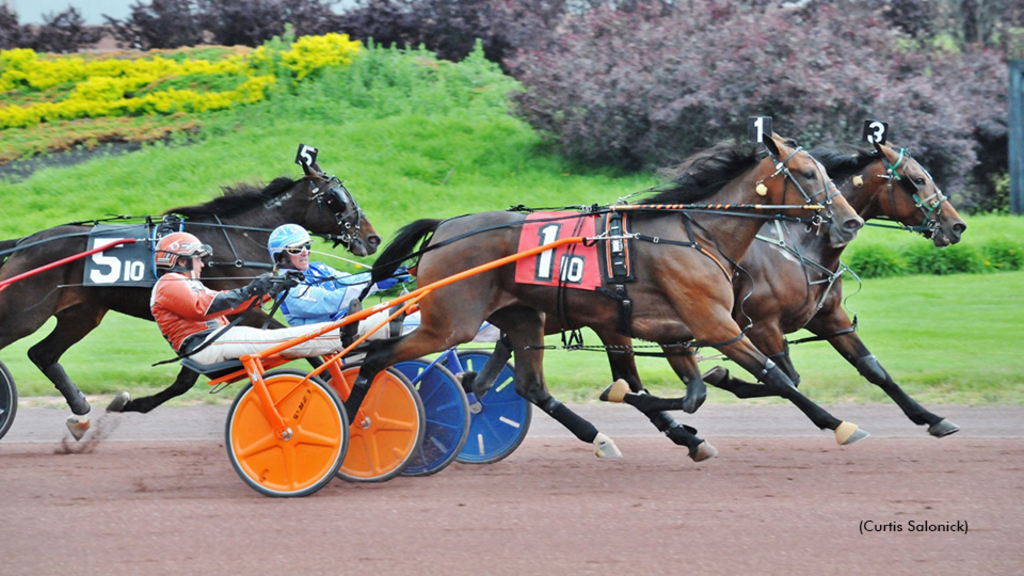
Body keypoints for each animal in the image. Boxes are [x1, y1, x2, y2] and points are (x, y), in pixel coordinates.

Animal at [352, 132, 864, 459]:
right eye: (807, 172)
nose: (850, 220)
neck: (697, 234)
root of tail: (443, 228)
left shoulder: (674, 331)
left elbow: (690, 391)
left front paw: (686, 422)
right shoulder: (717, 325)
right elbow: (776, 378)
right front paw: (841, 425)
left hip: (523, 319)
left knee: (521, 385)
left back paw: (596, 436)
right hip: (449, 323)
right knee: (376, 357)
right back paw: (354, 426)